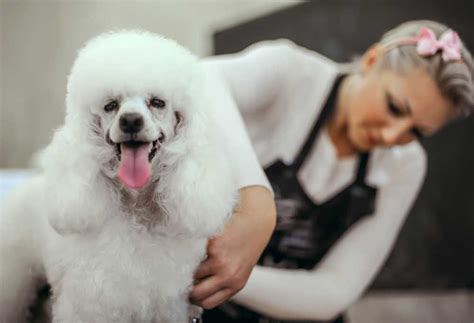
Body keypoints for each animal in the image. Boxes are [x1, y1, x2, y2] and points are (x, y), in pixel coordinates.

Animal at [0, 30, 237, 323]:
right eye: (111, 105)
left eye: (157, 102)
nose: (131, 121)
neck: (137, 211)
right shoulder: (91, 305)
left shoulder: (169, 306)